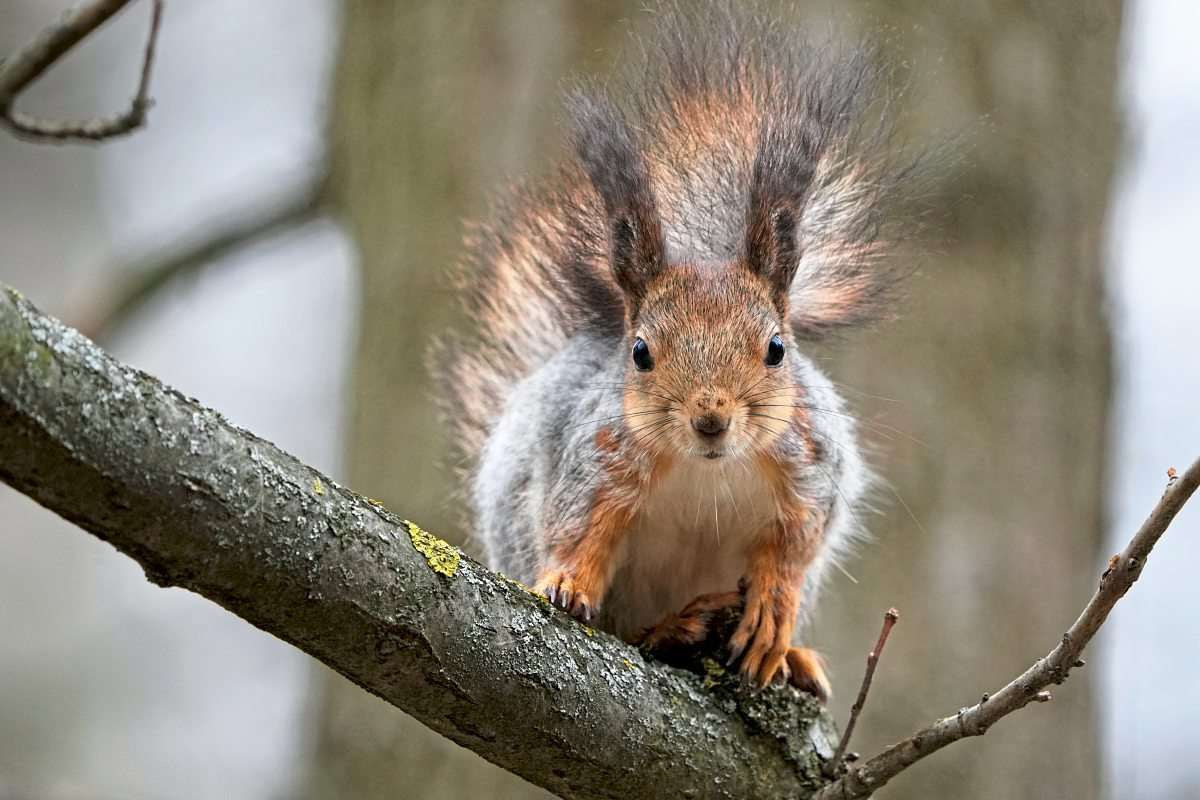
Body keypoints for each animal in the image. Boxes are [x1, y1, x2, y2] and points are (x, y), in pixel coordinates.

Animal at [436, 1, 912, 700]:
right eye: (640, 352)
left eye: (777, 349)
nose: (711, 419)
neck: (705, 470)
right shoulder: (598, 459)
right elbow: (577, 527)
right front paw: (568, 581)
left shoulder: (810, 467)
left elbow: (796, 546)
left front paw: (775, 612)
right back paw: (676, 627)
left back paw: (787, 654)